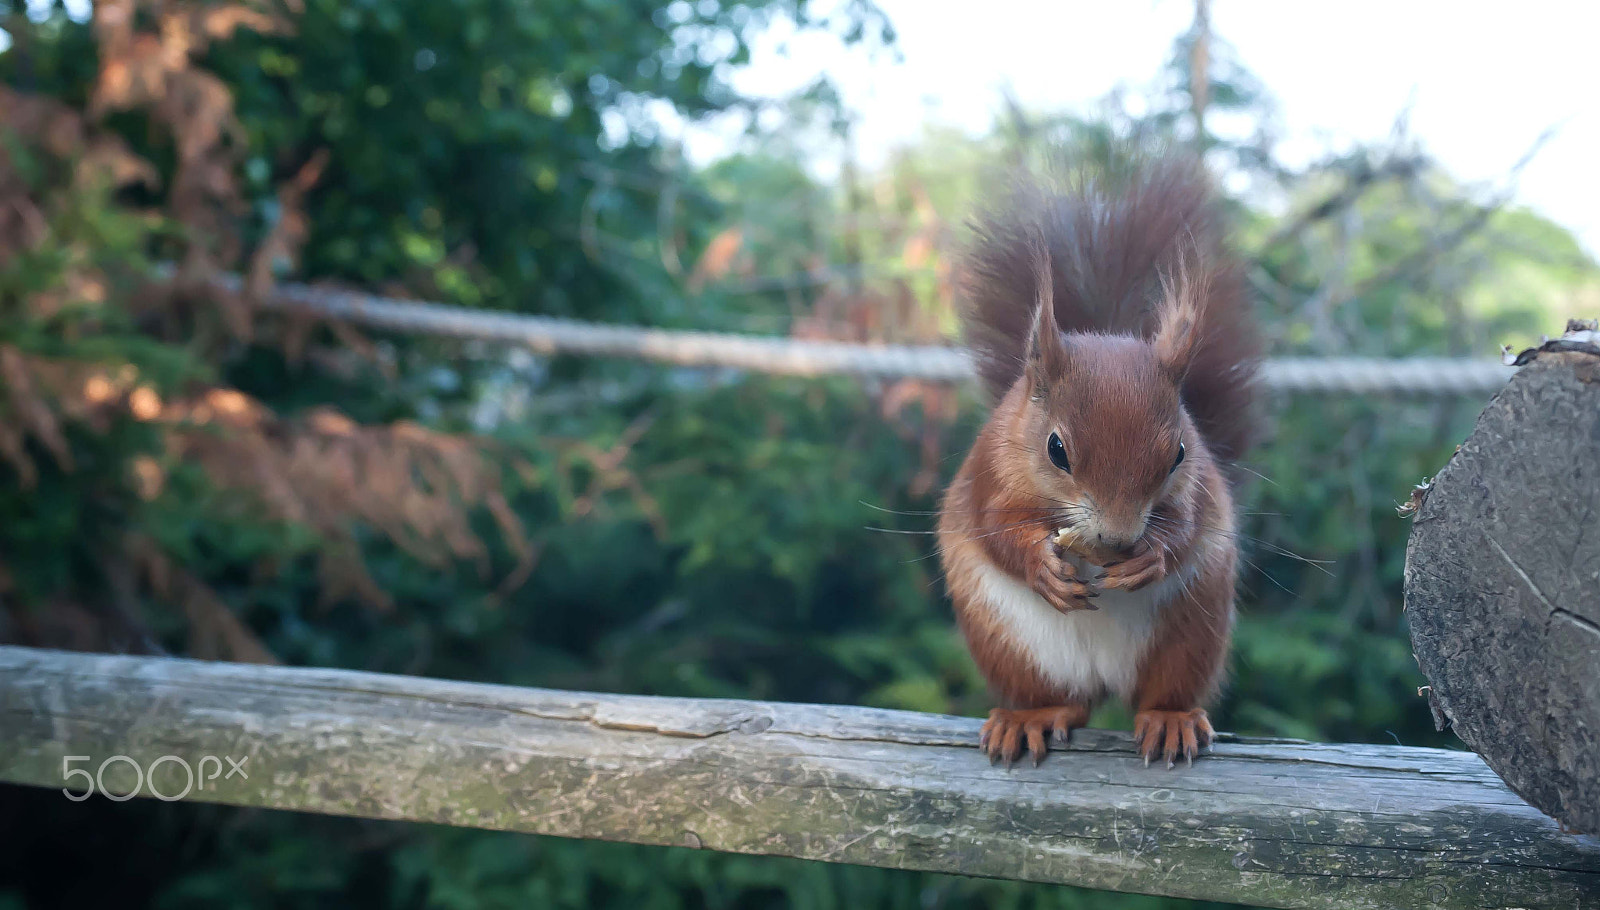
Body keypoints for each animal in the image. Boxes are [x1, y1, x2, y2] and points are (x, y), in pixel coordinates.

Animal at [934, 154, 1260, 767]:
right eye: (1055, 449)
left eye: (1179, 453)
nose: (1118, 537)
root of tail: (1101, 677)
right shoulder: (989, 474)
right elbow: (996, 529)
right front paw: (1040, 565)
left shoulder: (1197, 488)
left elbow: (1185, 526)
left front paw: (1151, 555)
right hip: (1008, 643)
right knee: (1062, 702)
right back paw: (1031, 718)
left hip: (1190, 631)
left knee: (1159, 694)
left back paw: (1170, 720)